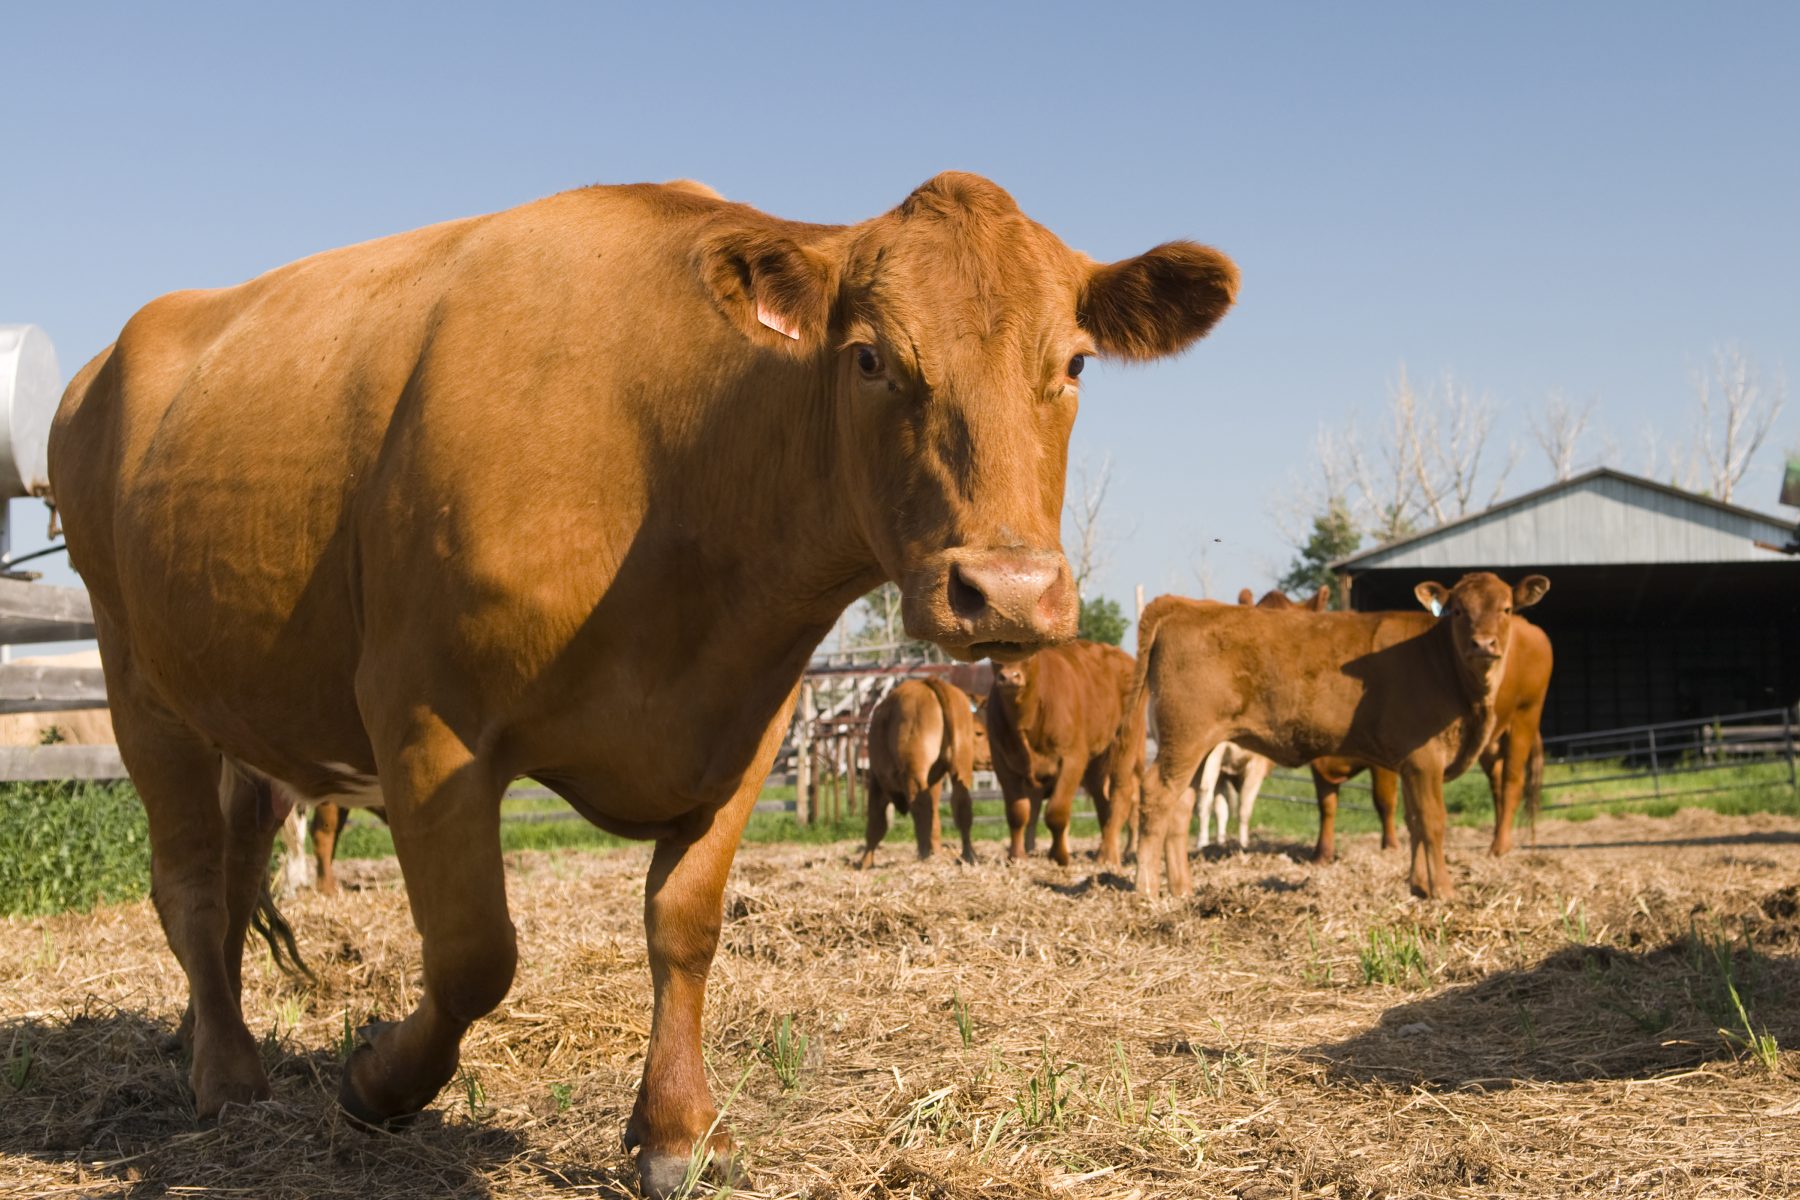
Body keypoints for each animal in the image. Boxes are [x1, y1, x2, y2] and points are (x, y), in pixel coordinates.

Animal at [858, 677, 983, 868]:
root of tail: (927, 682)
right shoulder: (934, 781)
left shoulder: (877, 781)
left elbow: (876, 824)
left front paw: (865, 862)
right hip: (960, 767)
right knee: (961, 806)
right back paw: (967, 856)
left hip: (914, 772)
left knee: (921, 808)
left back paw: (925, 857)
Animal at [986, 640, 1145, 868]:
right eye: (992, 652)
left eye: (1028, 650)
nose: (1009, 677)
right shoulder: (1002, 763)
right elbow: (1017, 813)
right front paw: (1016, 857)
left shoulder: (1072, 758)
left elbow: (1056, 812)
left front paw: (1059, 855)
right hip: (1096, 762)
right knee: (1102, 801)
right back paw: (1103, 848)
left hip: (1125, 743)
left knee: (1121, 793)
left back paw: (1108, 856)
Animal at [1129, 572, 1549, 901]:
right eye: (1459, 610)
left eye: (1507, 609)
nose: (1484, 644)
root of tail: (1184, 605)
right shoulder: (1424, 757)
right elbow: (1432, 822)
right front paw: (1444, 891)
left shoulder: (1408, 762)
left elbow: (1413, 821)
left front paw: (1418, 887)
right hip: (1185, 739)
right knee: (1156, 796)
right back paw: (1147, 890)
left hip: (1196, 748)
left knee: (1181, 807)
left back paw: (1182, 890)